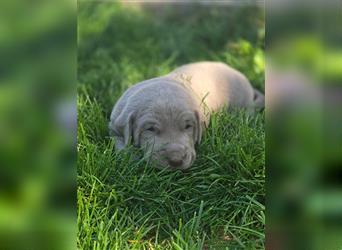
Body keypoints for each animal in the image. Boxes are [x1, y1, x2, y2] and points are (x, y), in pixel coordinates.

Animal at [109, 61, 264, 170]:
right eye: (150, 129)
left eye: (188, 126)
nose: (176, 160)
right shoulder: (114, 125)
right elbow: (119, 143)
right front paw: (132, 156)